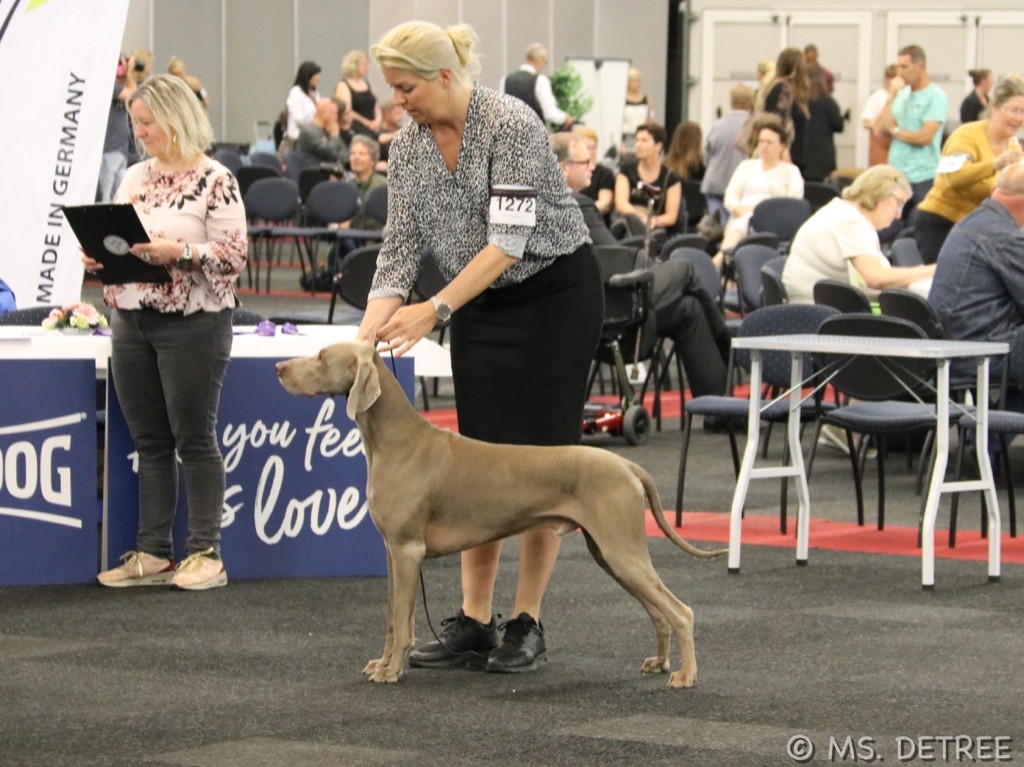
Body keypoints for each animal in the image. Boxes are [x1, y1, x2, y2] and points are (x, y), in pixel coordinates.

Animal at [278, 342, 729, 688]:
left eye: (321, 356)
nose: (280, 368)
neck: (394, 441)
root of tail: (628, 466)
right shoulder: (392, 552)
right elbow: (392, 618)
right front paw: (382, 663)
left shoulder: (408, 550)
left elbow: (403, 624)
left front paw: (392, 671)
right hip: (609, 553)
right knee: (658, 612)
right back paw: (661, 662)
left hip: (622, 551)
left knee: (681, 611)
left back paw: (686, 676)